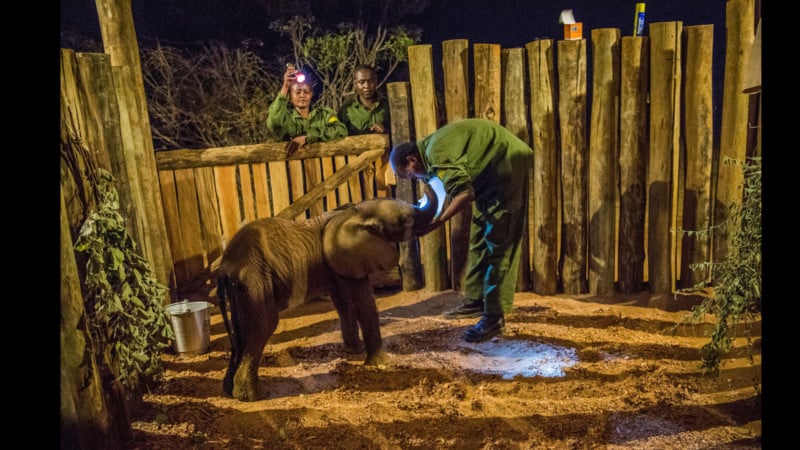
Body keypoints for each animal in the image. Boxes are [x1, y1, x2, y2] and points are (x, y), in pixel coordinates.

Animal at [216, 185, 438, 402]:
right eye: (407, 220)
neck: (356, 211)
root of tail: (224, 267)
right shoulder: (354, 256)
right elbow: (363, 301)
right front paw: (382, 362)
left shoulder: (337, 264)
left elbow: (343, 302)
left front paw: (354, 352)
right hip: (256, 282)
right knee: (263, 327)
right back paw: (257, 396)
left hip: (242, 288)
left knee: (241, 332)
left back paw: (229, 391)